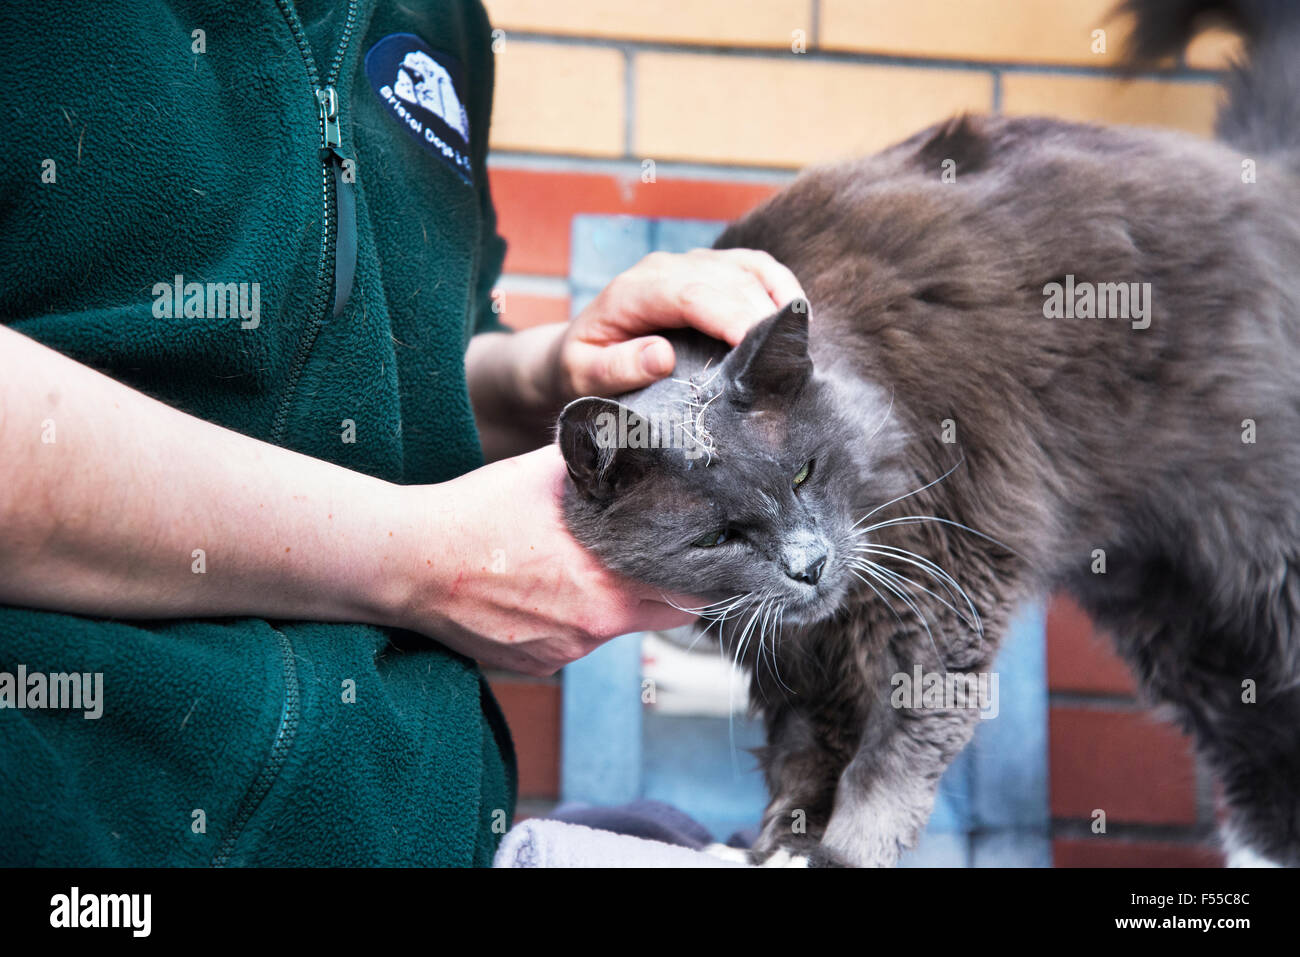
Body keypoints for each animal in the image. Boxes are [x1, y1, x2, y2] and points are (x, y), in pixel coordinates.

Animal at [556, 0, 1300, 868]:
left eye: (805, 472)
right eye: (719, 536)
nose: (809, 566)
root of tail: (1267, 174)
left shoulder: (945, 577)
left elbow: (894, 749)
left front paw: (845, 850)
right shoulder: (795, 654)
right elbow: (804, 747)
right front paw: (783, 840)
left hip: (1258, 569)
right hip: (1179, 618)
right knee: (1254, 745)